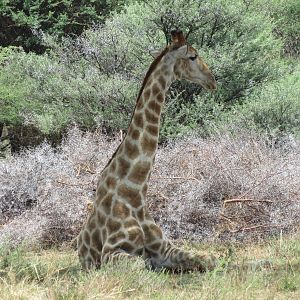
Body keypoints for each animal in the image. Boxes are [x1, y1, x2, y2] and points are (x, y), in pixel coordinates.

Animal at [77, 28, 218, 272]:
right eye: (193, 56)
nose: (213, 81)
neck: (135, 191)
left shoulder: (165, 248)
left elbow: (210, 258)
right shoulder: (111, 252)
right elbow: (141, 265)